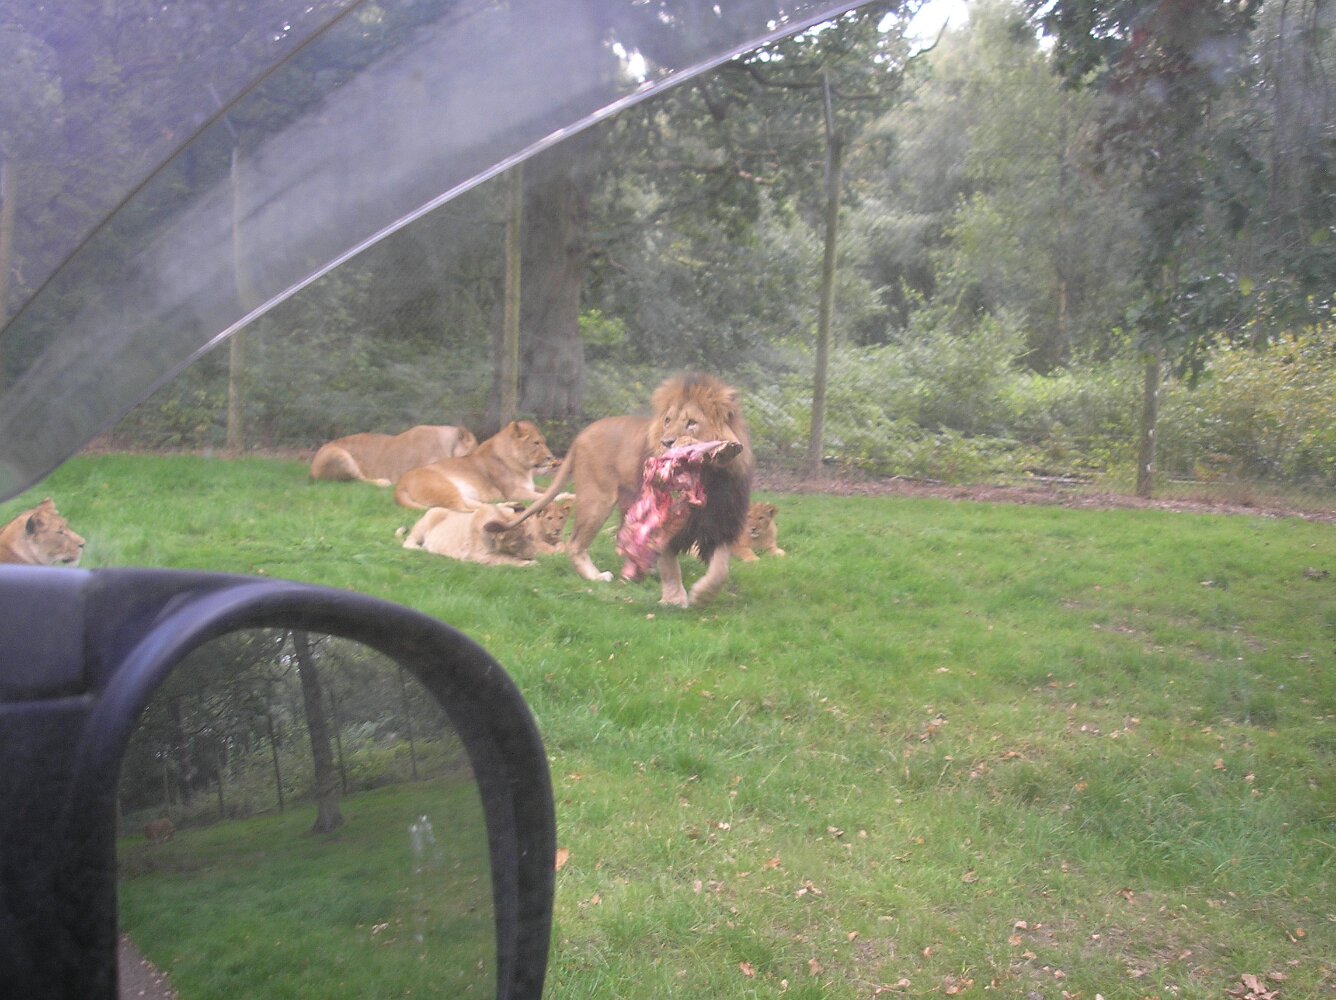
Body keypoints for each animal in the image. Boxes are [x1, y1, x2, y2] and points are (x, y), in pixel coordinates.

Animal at [393, 420, 557, 510]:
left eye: (544, 442)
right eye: (536, 443)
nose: (551, 457)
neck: (524, 468)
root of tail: (401, 483)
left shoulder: (529, 487)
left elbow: (547, 489)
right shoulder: (513, 492)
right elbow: (545, 495)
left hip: (462, 494)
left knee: (481, 506)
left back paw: (511, 506)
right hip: (443, 487)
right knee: (460, 510)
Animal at [401, 502, 536, 567]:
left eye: (530, 536)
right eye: (514, 545)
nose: (531, 555)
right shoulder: (474, 555)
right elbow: (505, 559)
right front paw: (530, 563)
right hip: (432, 515)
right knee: (408, 541)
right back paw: (422, 549)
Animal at [512, 374, 753, 607]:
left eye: (691, 423)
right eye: (667, 420)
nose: (666, 442)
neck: (708, 479)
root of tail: (581, 436)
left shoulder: (721, 524)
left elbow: (721, 569)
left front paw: (703, 595)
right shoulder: (663, 521)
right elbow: (670, 567)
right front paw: (674, 599)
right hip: (597, 500)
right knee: (574, 544)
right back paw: (596, 576)